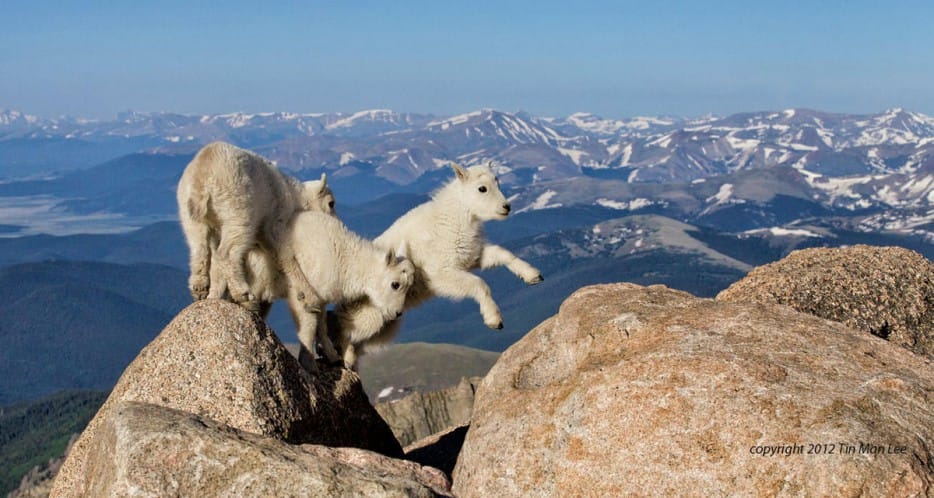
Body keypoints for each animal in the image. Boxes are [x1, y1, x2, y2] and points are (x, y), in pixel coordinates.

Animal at [332, 161, 544, 368]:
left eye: (497, 182)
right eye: (482, 188)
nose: (506, 207)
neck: (453, 218)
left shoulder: (471, 255)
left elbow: (503, 254)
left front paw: (533, 276)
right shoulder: (440, 273)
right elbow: (478, 283)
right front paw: (494, 320)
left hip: (388, 322)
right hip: (371, 314)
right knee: (344, 326)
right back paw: (345, 357)